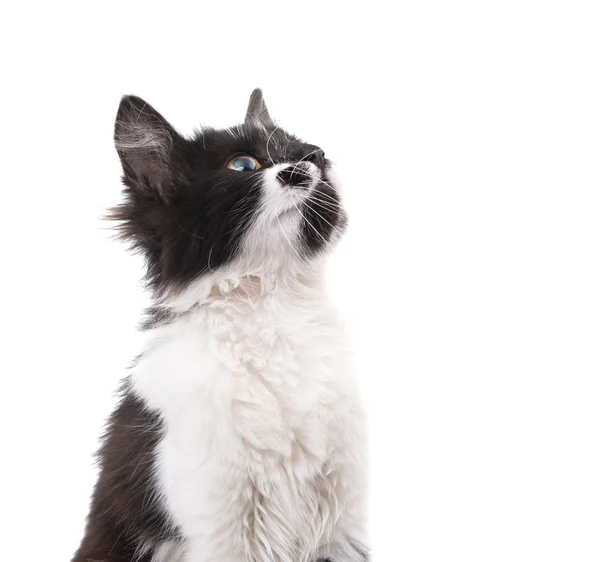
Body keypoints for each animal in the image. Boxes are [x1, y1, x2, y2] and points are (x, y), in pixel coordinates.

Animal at [72, 87, 368, 560]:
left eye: (301, 149)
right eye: (243, 166)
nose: (318, 154)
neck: (274, 304)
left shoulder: (341, 523)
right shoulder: (226, 526)